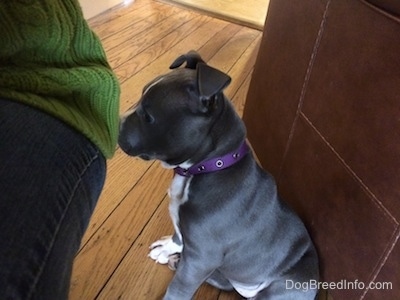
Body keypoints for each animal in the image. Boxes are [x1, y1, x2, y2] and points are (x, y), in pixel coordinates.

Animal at [118, 50, 318, 298]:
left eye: (147, 116)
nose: (116, 123)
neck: (207, 166)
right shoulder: (190, 238)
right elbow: (178, 236)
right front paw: (167, 249)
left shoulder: (201, 258)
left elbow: (178, 289)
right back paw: (176, 259)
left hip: (283, 286)